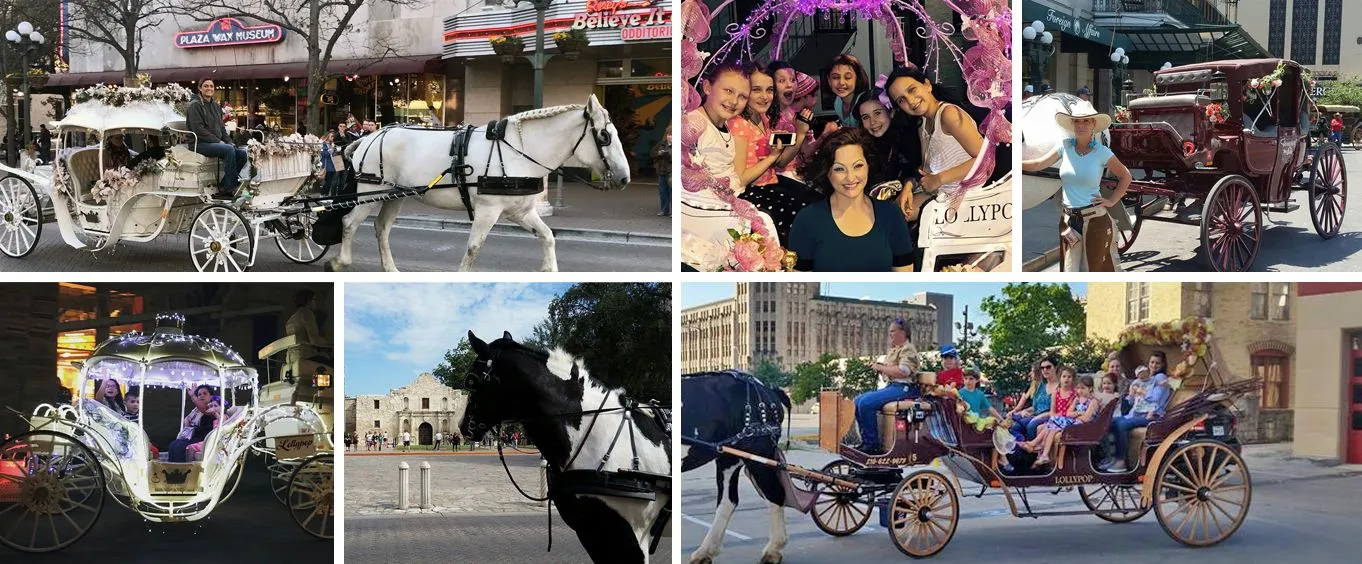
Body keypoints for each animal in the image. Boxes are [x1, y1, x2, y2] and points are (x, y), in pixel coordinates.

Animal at [326, 95, 629, 273]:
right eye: (604, 136)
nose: (625, 177)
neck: (518, 151)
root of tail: (369, 137)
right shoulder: (488, 210)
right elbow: (473, 248)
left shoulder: (521, 212)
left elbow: (547, 236)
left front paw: (549, 270)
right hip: (370, 192)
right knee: (349, 223)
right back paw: (340, 260)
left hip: (394, 195)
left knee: (381, 228)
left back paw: (390, 269)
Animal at [686, 370, 795, 564]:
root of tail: (767, 389)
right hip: (729, 456)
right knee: (728, 501)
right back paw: (706, 551)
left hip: (757, 455)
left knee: (775, 494)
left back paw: (773, 549)